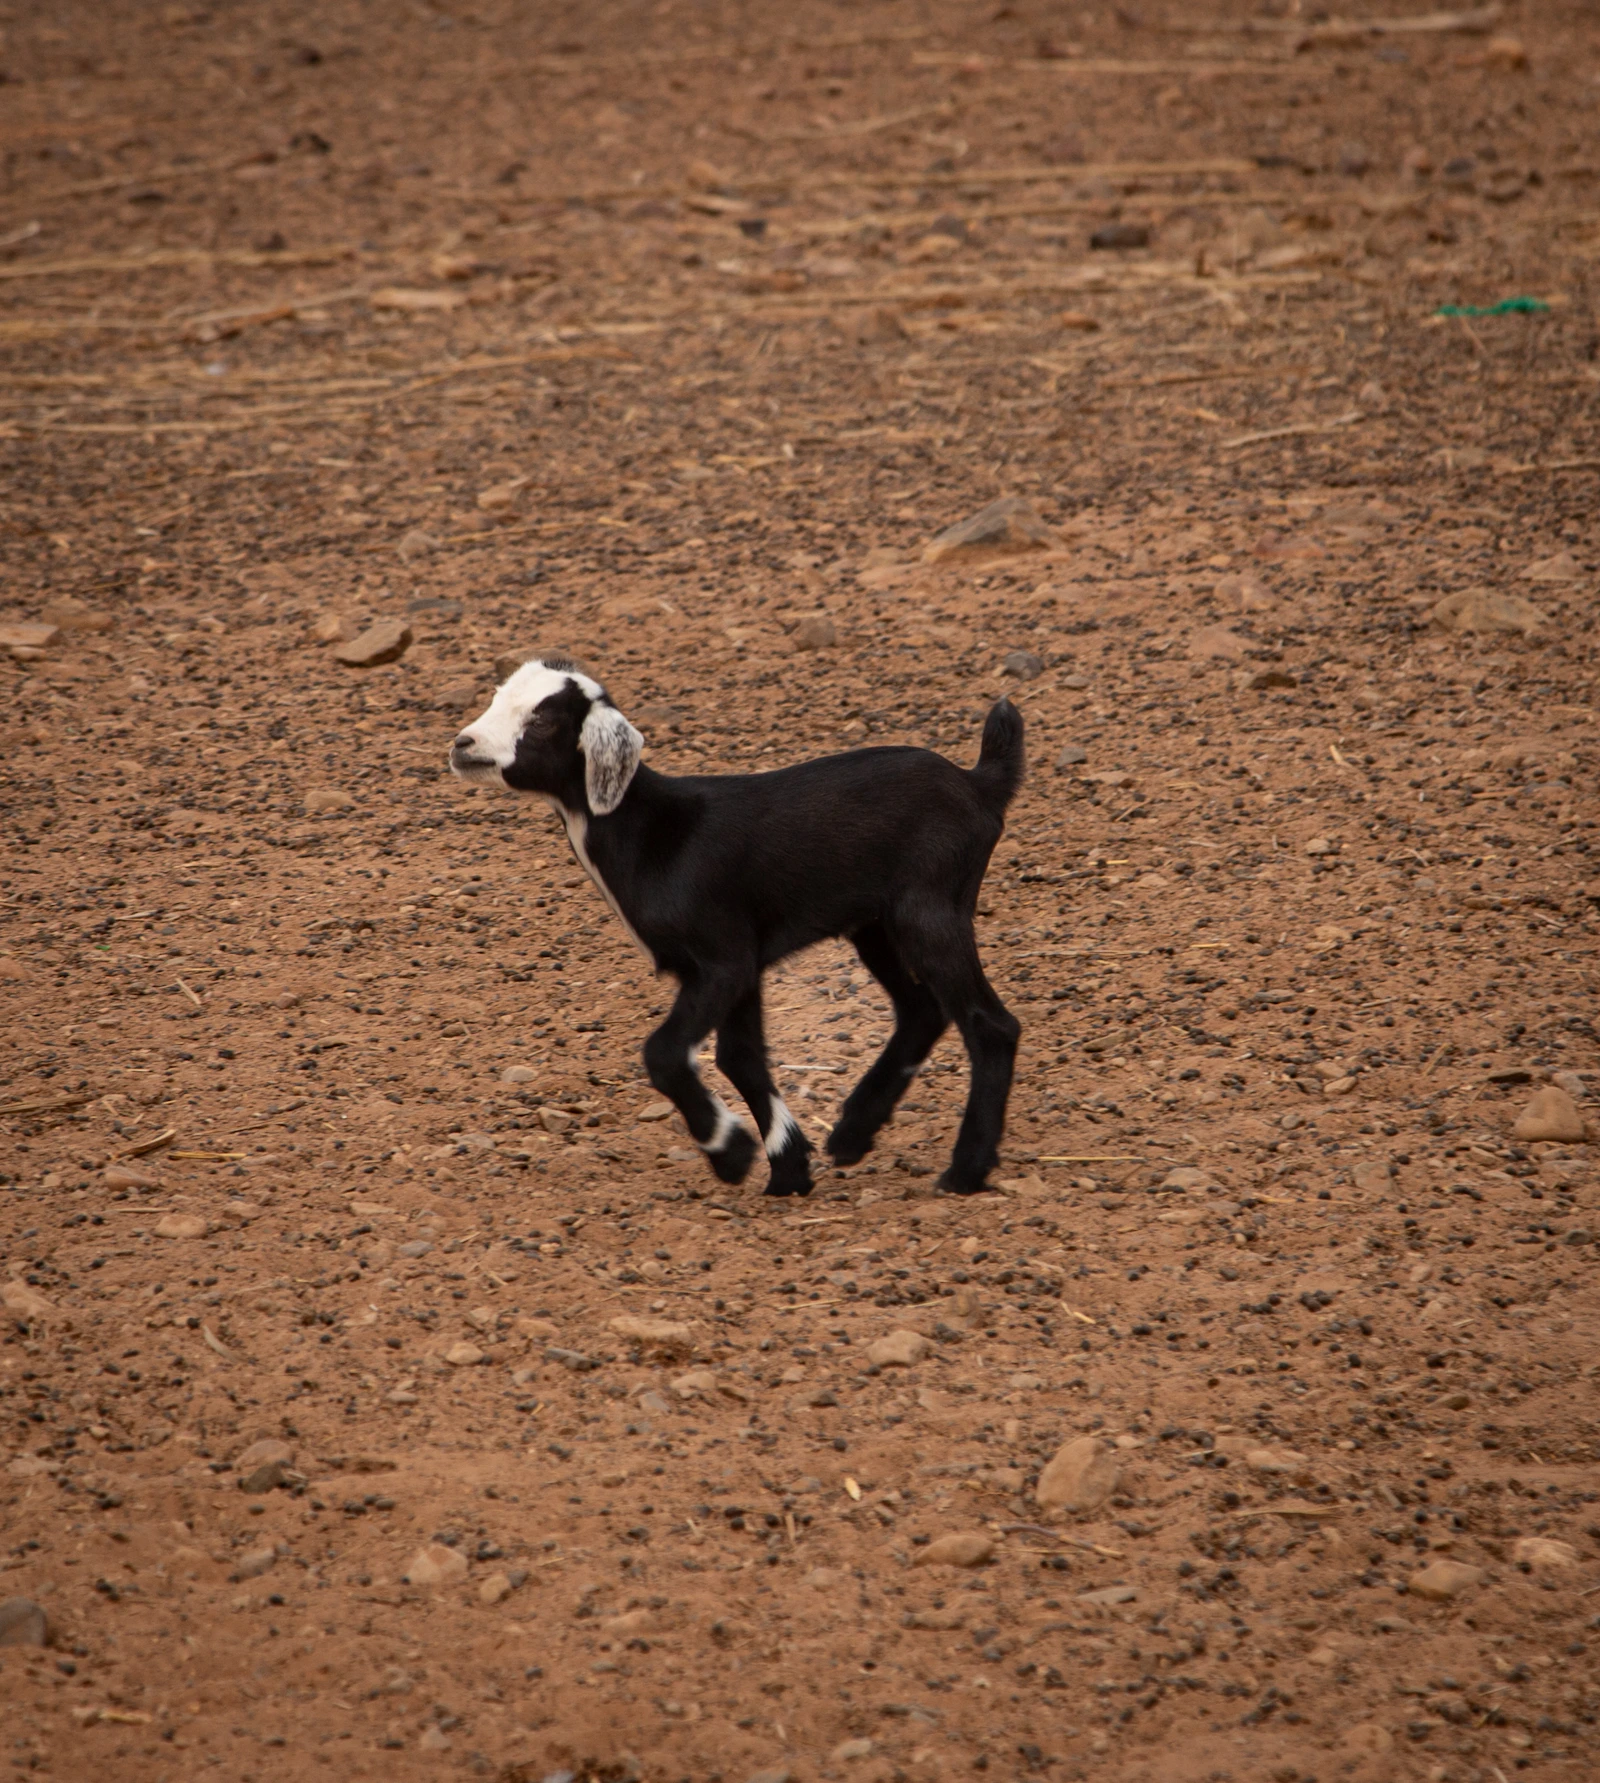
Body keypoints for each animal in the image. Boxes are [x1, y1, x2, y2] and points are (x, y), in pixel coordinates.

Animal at [449, 657, 1023, 1196]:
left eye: (544, 718)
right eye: (498, 697)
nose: (463, 745)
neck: (651, 832)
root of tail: (978, 784)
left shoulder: (722, 959)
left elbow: (665, 1053)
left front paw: (731, 1152)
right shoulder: (741, 961)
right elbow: (741, 1058)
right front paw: (788, 1169)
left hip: (930, 907)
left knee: (989, 1025)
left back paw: (966, 1169)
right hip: (876, 924)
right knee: (922, 1009)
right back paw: (853, 1132)